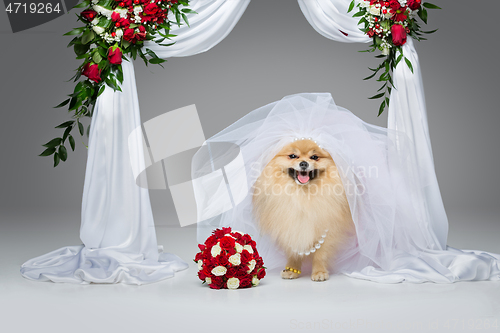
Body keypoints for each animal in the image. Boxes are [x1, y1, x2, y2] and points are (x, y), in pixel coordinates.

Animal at [254, 137, 356, 280]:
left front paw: (319, 272)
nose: (303, 163)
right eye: (292, 156)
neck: (303, 195)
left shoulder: (327, 226)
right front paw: (292, 269)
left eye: (314, 157)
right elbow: (293, 250)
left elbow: (321, 254)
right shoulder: (290, 224)